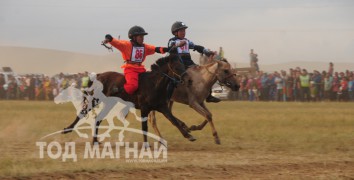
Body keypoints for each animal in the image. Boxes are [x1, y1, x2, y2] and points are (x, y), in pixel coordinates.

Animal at [63, 50, 196, 143]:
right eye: (176, 67)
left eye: (183, 65)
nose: (189, 80)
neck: (154, 84)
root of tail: (99, 75)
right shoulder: (144, 109)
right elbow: (144, 127)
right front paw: (146, 146)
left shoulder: (162, 107)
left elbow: (174, 120)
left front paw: (189, 135)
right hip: (95, 100)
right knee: (83, 112)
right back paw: (68, 129)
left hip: (109, 104)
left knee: (98, 119)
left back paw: (95, 141)